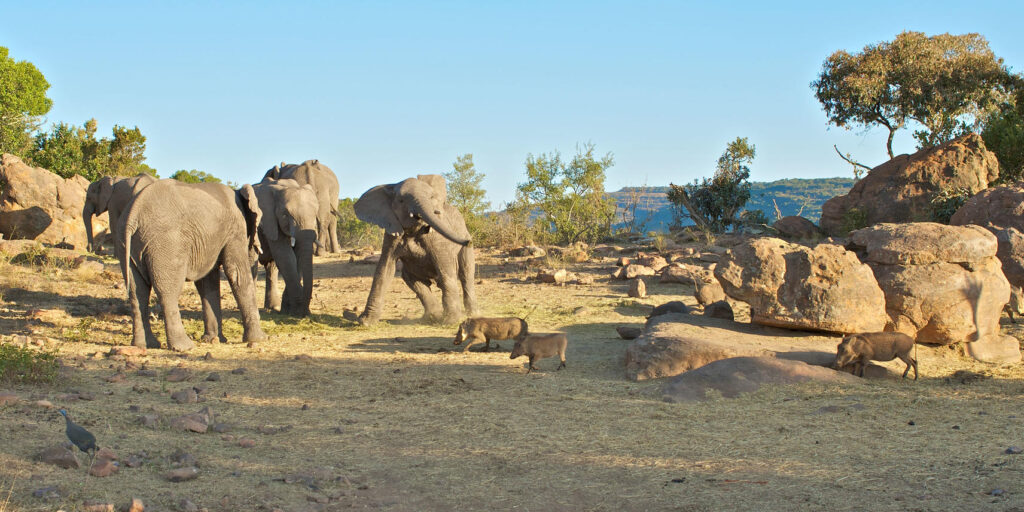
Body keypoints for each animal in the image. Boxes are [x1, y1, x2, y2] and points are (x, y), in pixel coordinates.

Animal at [120, 179, 267, 351]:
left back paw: (145, 345)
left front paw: (214, 339)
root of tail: (133, 213)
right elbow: (236, 273)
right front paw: (260, 339)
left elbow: (207, 282)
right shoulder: (235, 228)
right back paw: (184, 347)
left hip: (126, 243)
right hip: (167, 243)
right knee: (168, 291)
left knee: (137, 292)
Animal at [252, 178, 319, 316]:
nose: (306, 313)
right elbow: (286, 256)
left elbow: (297, 257)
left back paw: (273, 307)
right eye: (285, 214)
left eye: (316, 214)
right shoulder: (269, 220)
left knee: (271, 267)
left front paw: (289, 310)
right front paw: (296, 311)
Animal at [353, 174, 478, 325]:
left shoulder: (437, 239)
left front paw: (452, 321)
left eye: (431, 197)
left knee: (466, 274)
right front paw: (365, 322)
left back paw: (472, 314)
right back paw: (432, 316)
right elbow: (385, 268)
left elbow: (444, 267)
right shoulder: (391, 233)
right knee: (411, 279)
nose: (468, 241)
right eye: (401, 200)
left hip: (465, 247)